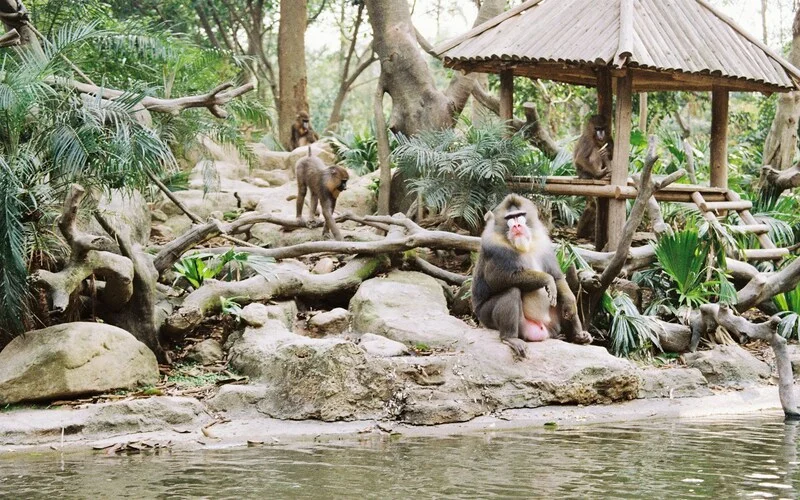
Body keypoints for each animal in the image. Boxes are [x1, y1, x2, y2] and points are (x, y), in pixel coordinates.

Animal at [471, 194, 592, 358]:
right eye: (510, 217)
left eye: (520, 215)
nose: (516, 226)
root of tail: (544, 331)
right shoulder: (495, 248)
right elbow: (499, 279)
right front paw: (547, 279)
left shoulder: (543, 243)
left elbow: (558, 277)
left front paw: (569, 302)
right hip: (488, 317)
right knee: (511, 291)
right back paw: (510, 338)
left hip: (554, 324)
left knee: (560, 297)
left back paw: (579, 336)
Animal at [573, 114, 614, 243]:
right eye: (597, 129)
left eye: (602, 128)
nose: (601, 134)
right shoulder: (588, 140)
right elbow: (580, 158)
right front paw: (599, 174)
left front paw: (608, 150)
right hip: (584, 173)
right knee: (596, 150)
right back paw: (601, 174)